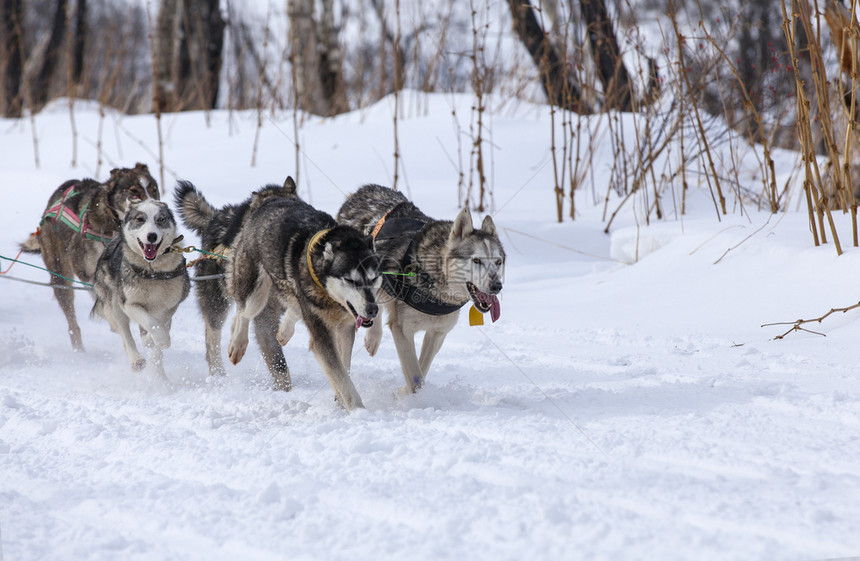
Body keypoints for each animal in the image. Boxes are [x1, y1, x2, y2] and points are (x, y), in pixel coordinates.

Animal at [18, 160, 160, 350]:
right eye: (134, 192)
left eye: (154, 189)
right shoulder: (85, 269)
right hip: (60, 276)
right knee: (72, 322)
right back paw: (80, 349)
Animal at [171, 177, 298, 382]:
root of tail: (216, 216)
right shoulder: (265, 315)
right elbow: (278, 362)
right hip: (216, 302)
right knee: (212, 339)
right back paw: (218, 375)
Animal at [225, 197, 380, 412]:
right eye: (350, 280)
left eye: (373, 279)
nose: (373, 309)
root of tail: (270, 200)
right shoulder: (322, 335)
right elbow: (341, 377)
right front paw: (358, 410)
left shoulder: (346, 327)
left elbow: (344, 367)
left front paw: (340, 401)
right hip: (255, 291)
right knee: (243, 312)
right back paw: (237, 344)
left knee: (290, 308)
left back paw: (283, 332)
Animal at [338, 184, 504, 394]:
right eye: (476, 260)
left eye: (498, 262)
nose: (497, 286)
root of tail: (363, 190)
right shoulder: (402, 330)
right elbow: (414, 377)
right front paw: (404, 395)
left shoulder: (438, 333)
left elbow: (421, 372)